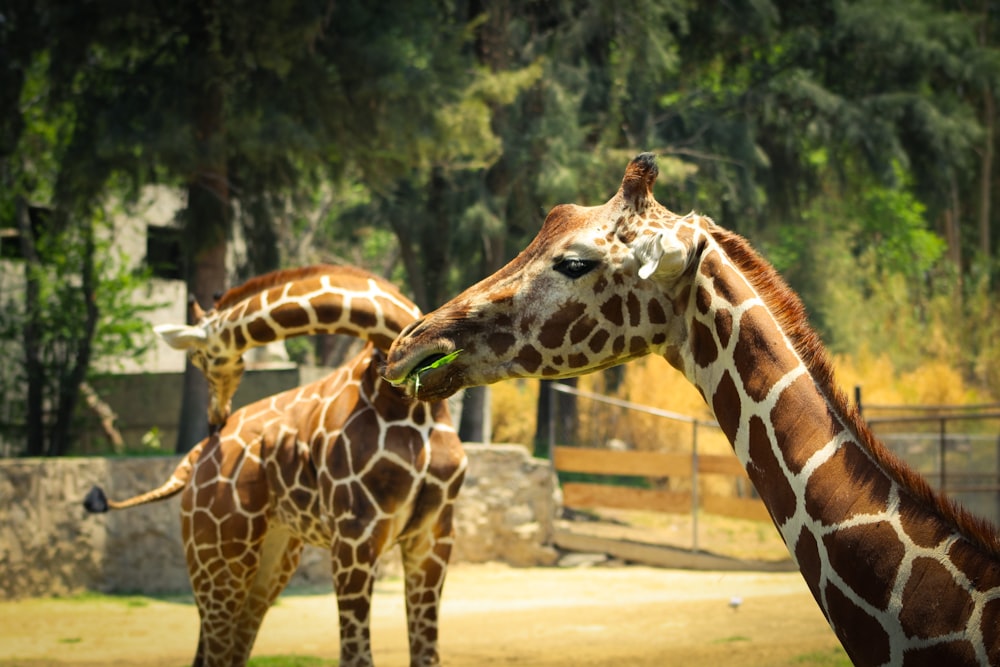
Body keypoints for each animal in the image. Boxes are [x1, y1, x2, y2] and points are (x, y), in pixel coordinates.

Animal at [84, 266, 466, 667]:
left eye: (199, 359)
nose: (215, 417)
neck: (405, 403)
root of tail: (194, 459)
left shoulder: (435, 533)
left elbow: (427, 655)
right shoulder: (354, 532)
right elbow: (356, 656)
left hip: (271, 557)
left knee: (226, 649)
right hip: (217, 556)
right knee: (215, 651)